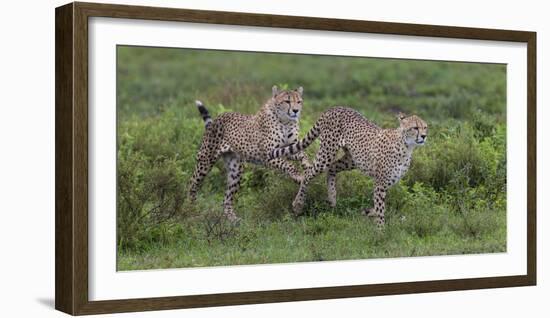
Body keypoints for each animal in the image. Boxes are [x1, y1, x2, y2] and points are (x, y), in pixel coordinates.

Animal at [189, 85, 310, 222]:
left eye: (299, 101)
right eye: (287, 101)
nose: (296, 111)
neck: (285, 121)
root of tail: (219, 117)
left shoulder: (289, 148)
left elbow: (303, 155)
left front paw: (308, 166)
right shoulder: (268, 155)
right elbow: (289, 165)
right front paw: (298, 176)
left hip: (235, 170)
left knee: (226, 199)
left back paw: (232, 219)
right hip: (205, 161)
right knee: (192, 183)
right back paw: (191, 209)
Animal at [270, 107, 430, 229]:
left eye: (425, 127)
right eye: (415, 128)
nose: (423, 136)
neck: (406, 146)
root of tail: (335, 108)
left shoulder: (386, 182)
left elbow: (378, 205)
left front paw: (369, 212)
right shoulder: (380, 183)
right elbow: (380, 208)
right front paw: (380, 231)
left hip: (352, 159)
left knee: (332, 168)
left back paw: (332, 197)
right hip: (327, 153)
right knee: (309, 172)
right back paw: (298, 204)